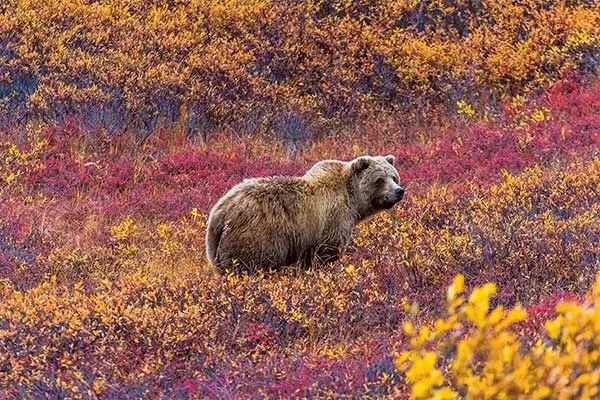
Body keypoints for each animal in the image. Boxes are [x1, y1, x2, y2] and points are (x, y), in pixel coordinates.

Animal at [205, 155, 404, 274]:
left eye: (394, 177)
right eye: (379, 179)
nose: (399, 191)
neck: (353, 200)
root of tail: (220, 213)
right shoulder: (332, 220)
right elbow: (327, 252)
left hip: (215, 248)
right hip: (255, 238)